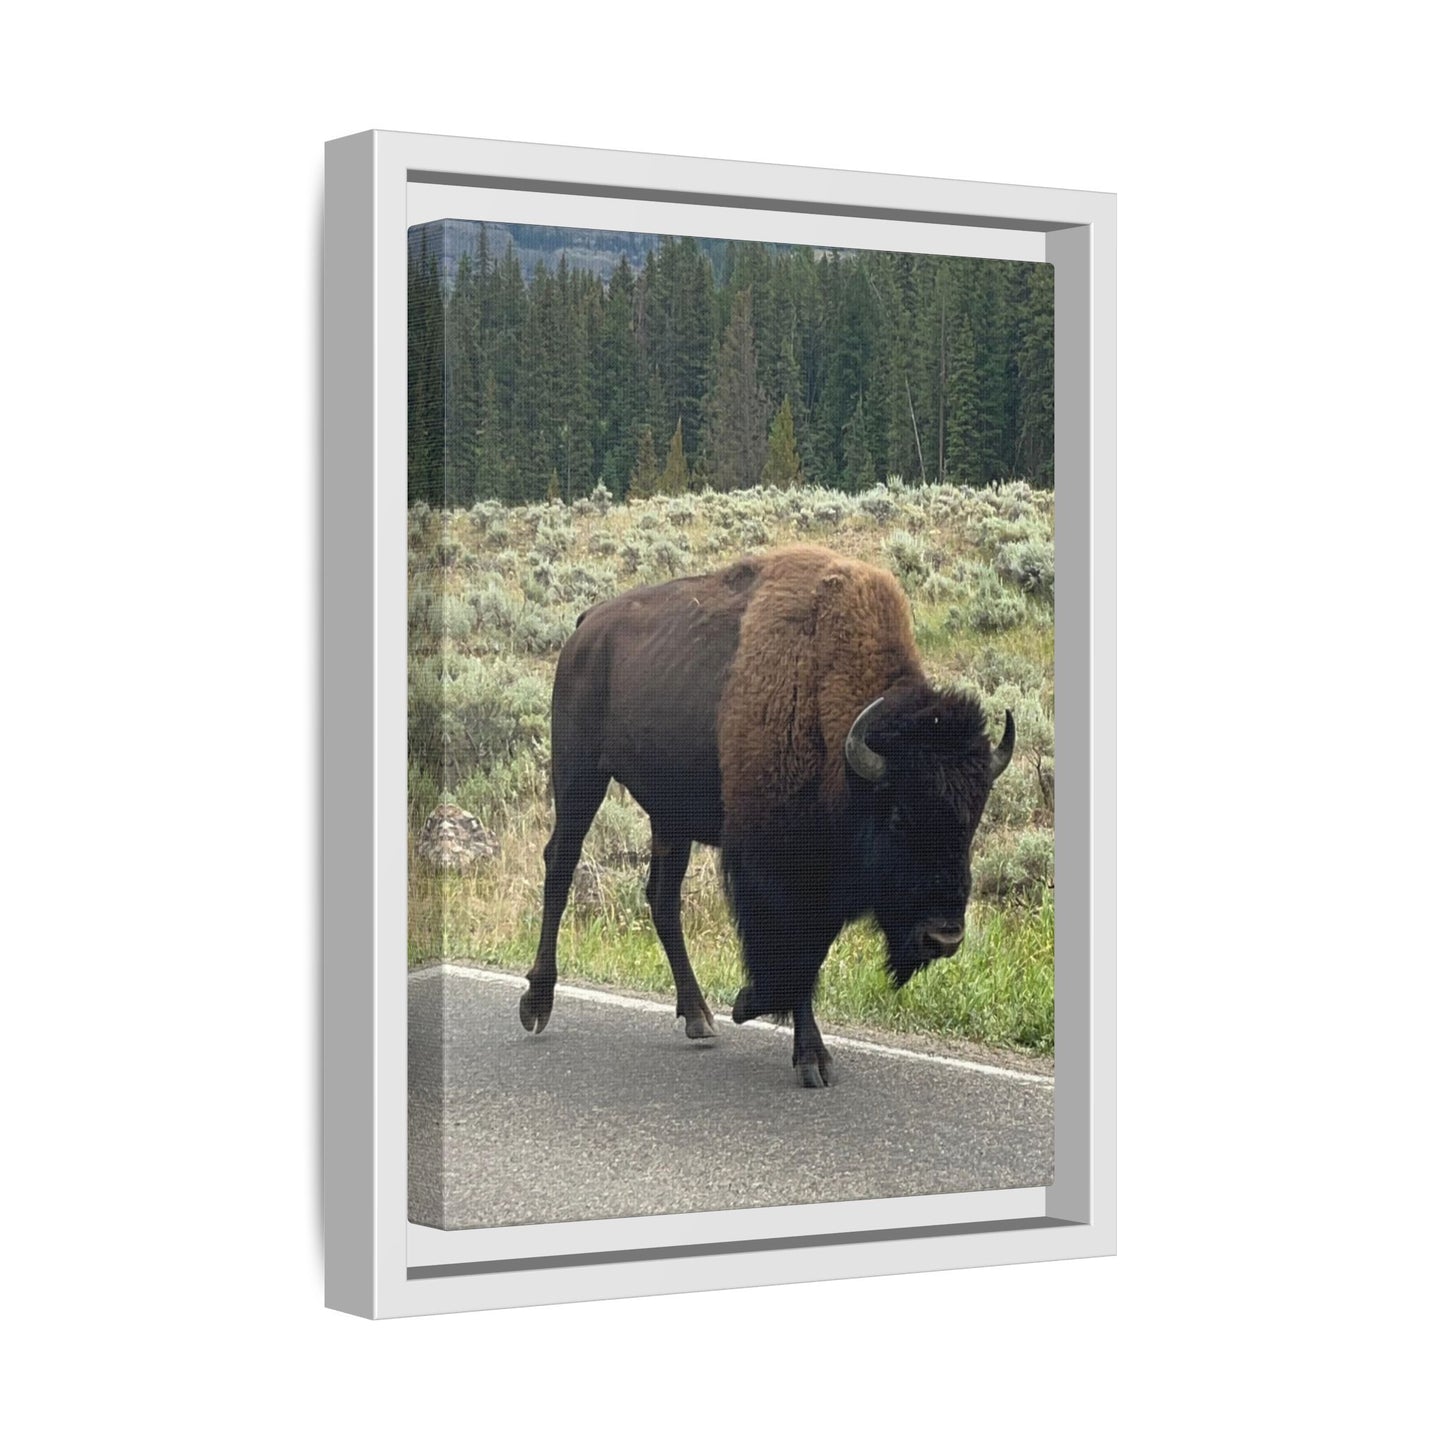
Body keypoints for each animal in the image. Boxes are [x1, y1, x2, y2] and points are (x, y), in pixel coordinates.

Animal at [520, 544, 1014, 1087]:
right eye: (900, 815)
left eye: (973, 819)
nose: (943, 936)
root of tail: (586, 626)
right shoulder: (775, 869)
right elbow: (791, 952)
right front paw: (802, 1049)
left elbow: (809, 954)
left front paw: (759, 1013)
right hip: (579, 776)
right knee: (561, 865)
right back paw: (537, 1003)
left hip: (670, 816)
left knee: (662, 898)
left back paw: (698, 1016)